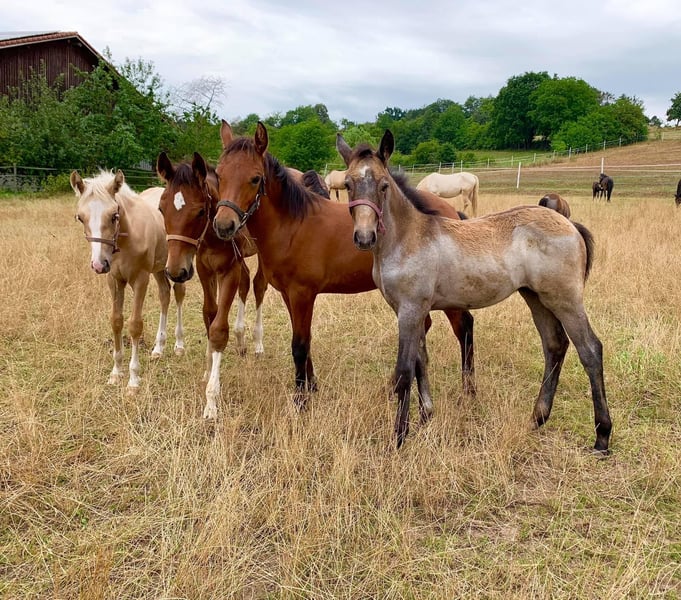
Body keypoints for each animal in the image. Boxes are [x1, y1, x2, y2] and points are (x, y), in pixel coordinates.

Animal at [71, 169, 187, 392]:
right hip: (159, 269)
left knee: (178, 295)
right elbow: (116, 321)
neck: (127, 240)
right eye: (80, 217)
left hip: (178, 266)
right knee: (164, 295)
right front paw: (116, 372)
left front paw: (133, 380)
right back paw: (158, 348)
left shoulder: (140, 280)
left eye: (114, 216)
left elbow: (134, 325)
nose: (99, 264)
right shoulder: (114, 280)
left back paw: (179, 345)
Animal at [156, 151, 268, 419]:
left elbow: (218, 328)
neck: (212, 236)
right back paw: (241, 340)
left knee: (258, 286)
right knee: (246, 284)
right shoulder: (204, 269)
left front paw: (211, 401)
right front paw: (208, 371)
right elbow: (209, 314)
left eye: (199, 212)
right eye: (161, 209)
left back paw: (257, 343)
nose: (175, 271)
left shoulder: (228, 271)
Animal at [211, 120, 475, 411]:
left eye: (255, 178)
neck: (292, 225)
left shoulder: (303, 294)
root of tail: (452, 212)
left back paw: (468, 392)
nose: (224, 225)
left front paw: (301, 400)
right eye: (219, 175)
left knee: (463, 328)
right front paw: (312, 386)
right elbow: (304, 341)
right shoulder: (288, 295)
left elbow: (299, 346)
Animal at [337, 130, 611, 454]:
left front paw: (399, 437)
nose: (364, 237)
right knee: (554, 346)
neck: (408, 238)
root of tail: (569, 223)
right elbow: (420, 362)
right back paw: (537, 419)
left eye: (383, 185)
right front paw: (426, 417)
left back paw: (602, 436)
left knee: (590, 350)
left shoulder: (410, 309)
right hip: (536, 298)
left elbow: (405, 371)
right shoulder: (410, 311)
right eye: (348, 184)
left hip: (565, 299)